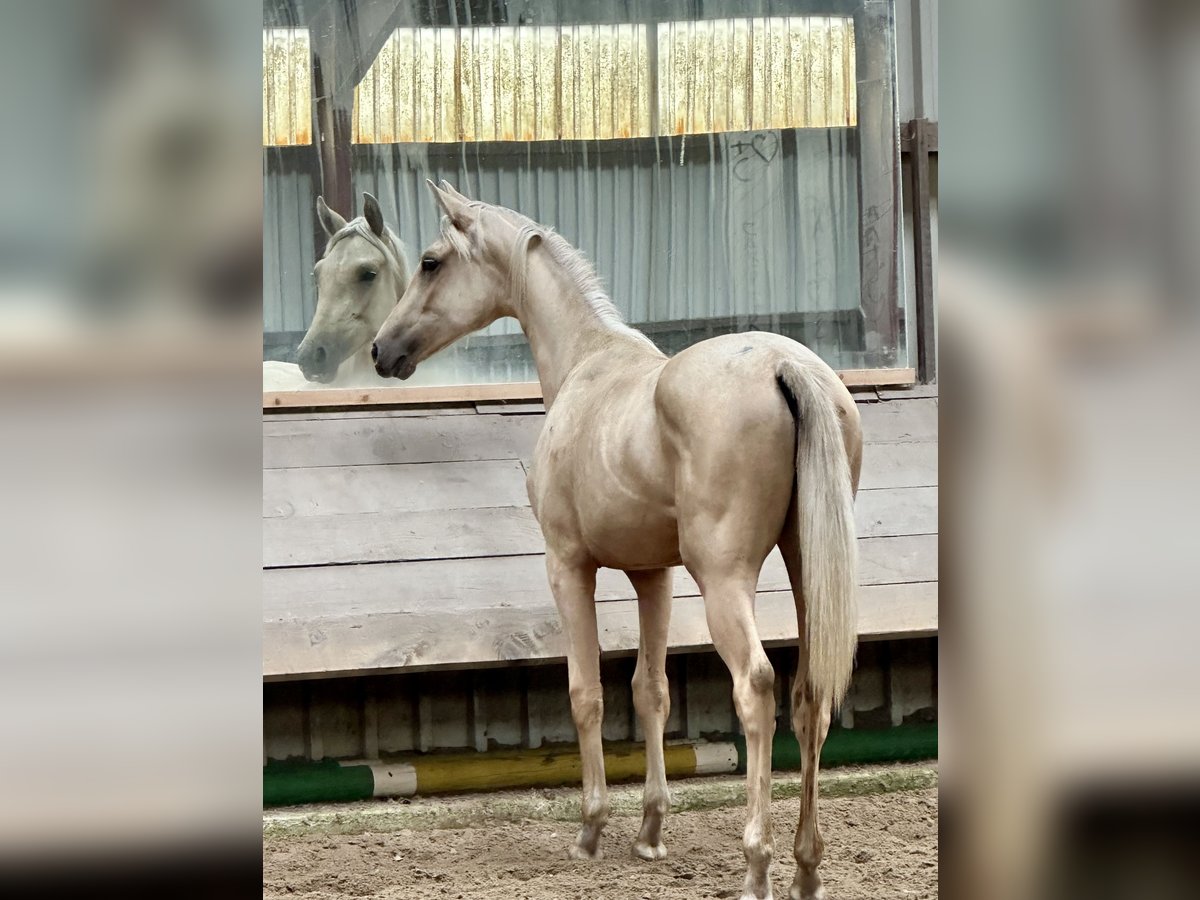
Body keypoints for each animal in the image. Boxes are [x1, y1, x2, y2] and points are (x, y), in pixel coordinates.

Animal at [369, 183, 859, 900]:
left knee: (757, 688)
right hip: (804, 572)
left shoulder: (569, 567)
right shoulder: (654, 576)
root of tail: (785, 365)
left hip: (725, 581)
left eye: (431, 262)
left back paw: (757, 864)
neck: (589, 363)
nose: (382, 350)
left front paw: (592, 830)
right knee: (809, 698)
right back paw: (806, 866)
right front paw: (651, 831)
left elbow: (587, 692)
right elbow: (650, 689)